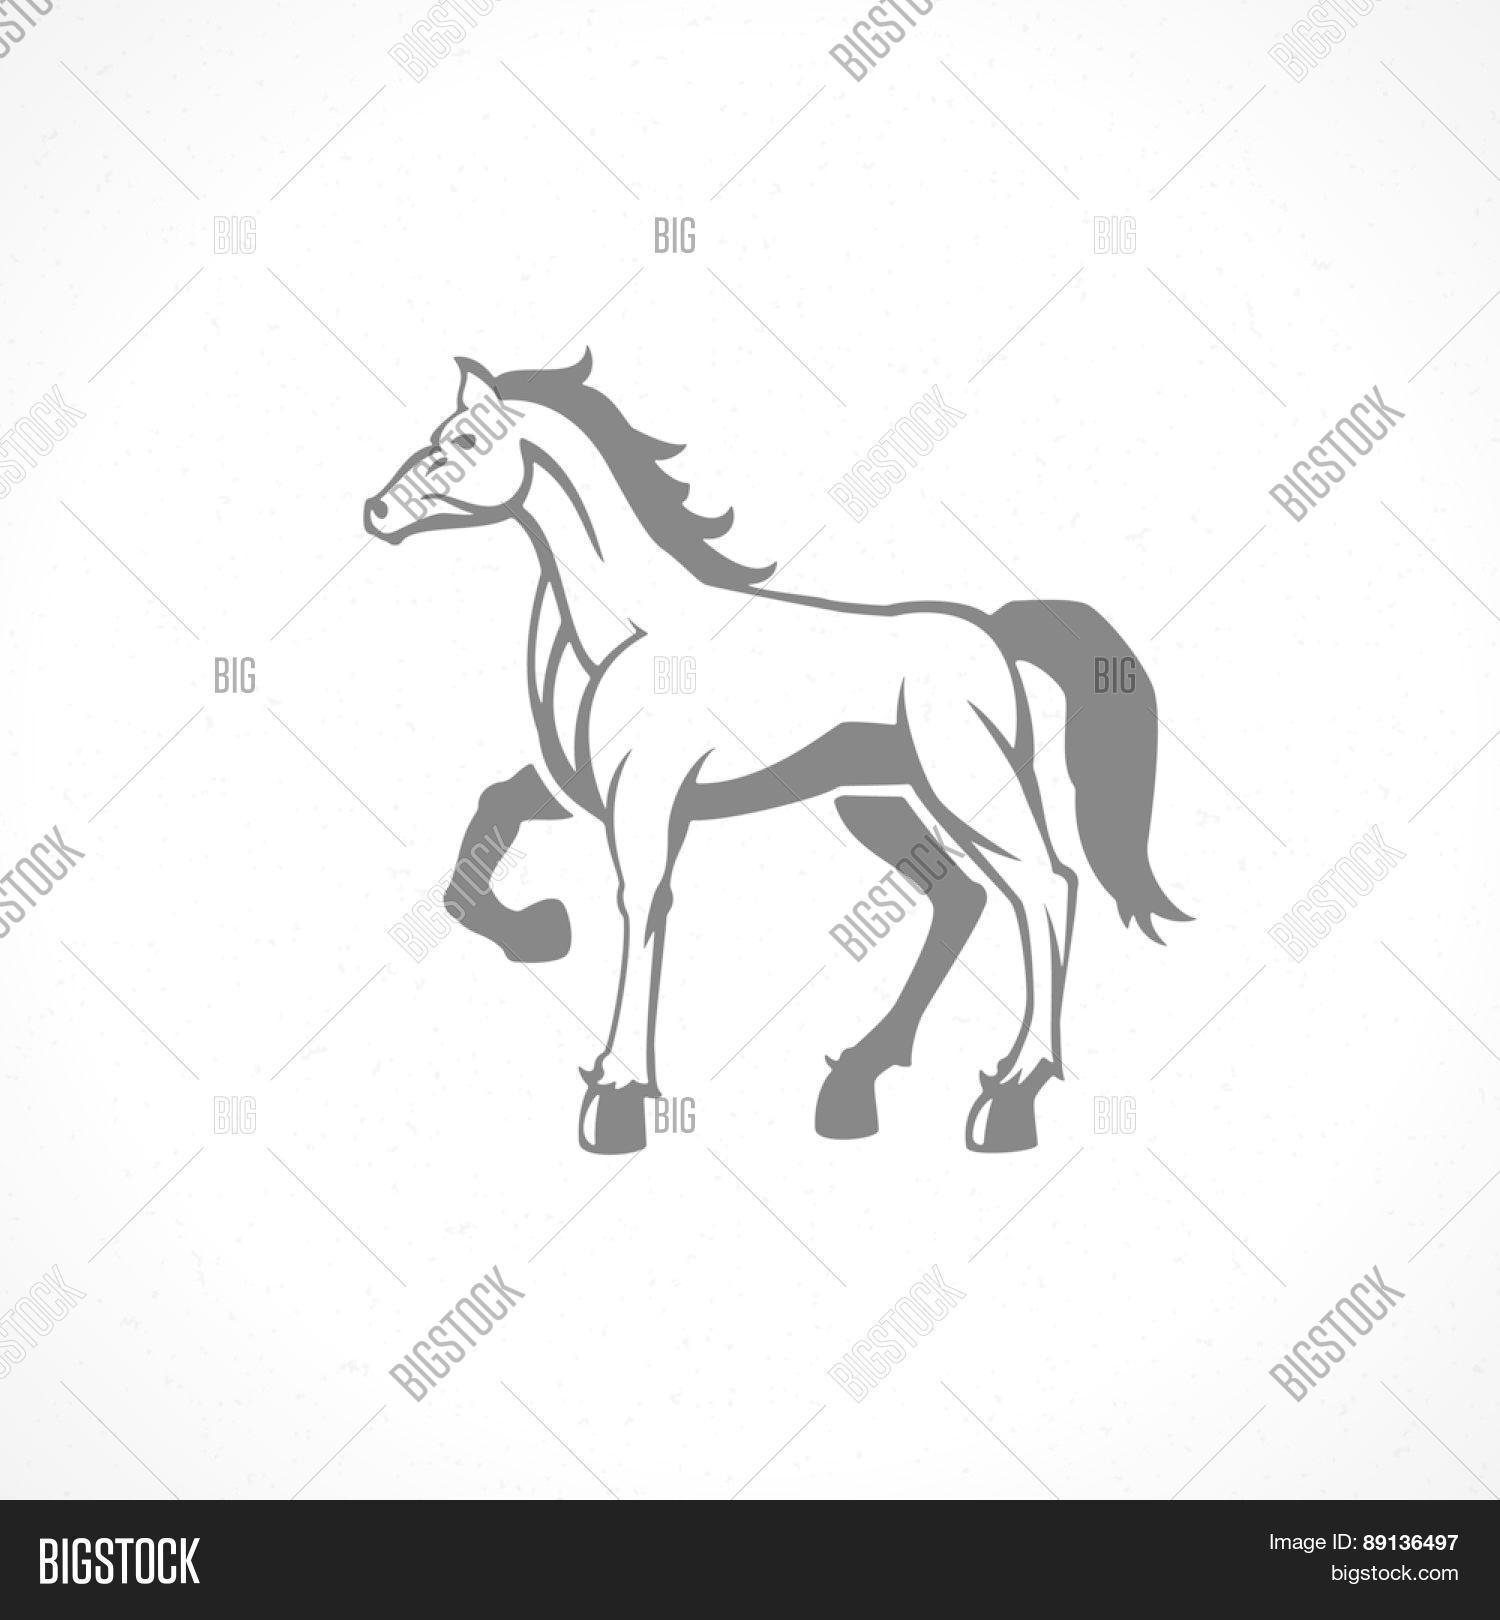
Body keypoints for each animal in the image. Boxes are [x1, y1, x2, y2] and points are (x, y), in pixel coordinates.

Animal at [364, 351, 1189, 1156]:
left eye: (467, 441)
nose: (376, 512)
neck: (629, 633)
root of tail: (992, 631)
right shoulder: (579, 789)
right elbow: (489, 819)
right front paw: (540, 930)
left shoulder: (647, 798)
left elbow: (642, 903)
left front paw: (617, 1094)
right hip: (877, 800)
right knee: (963, 898)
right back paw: (856, 1083)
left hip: (967, 789)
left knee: (1046, 887)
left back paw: (1009, 1097)